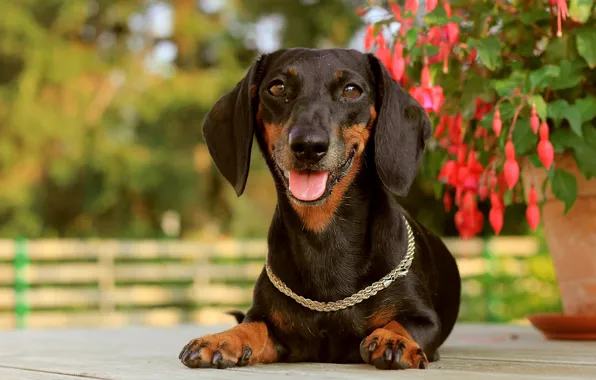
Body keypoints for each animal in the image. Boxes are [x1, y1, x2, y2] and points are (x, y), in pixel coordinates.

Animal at [177, 48, 460, 372]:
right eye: (277, 87)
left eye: (352, 90)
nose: (308, 146)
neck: (324, 237)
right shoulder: (274, 328)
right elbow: (252, 325)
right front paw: (223, 339)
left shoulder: (426, 321)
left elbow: (403, 323)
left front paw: (394, 339)